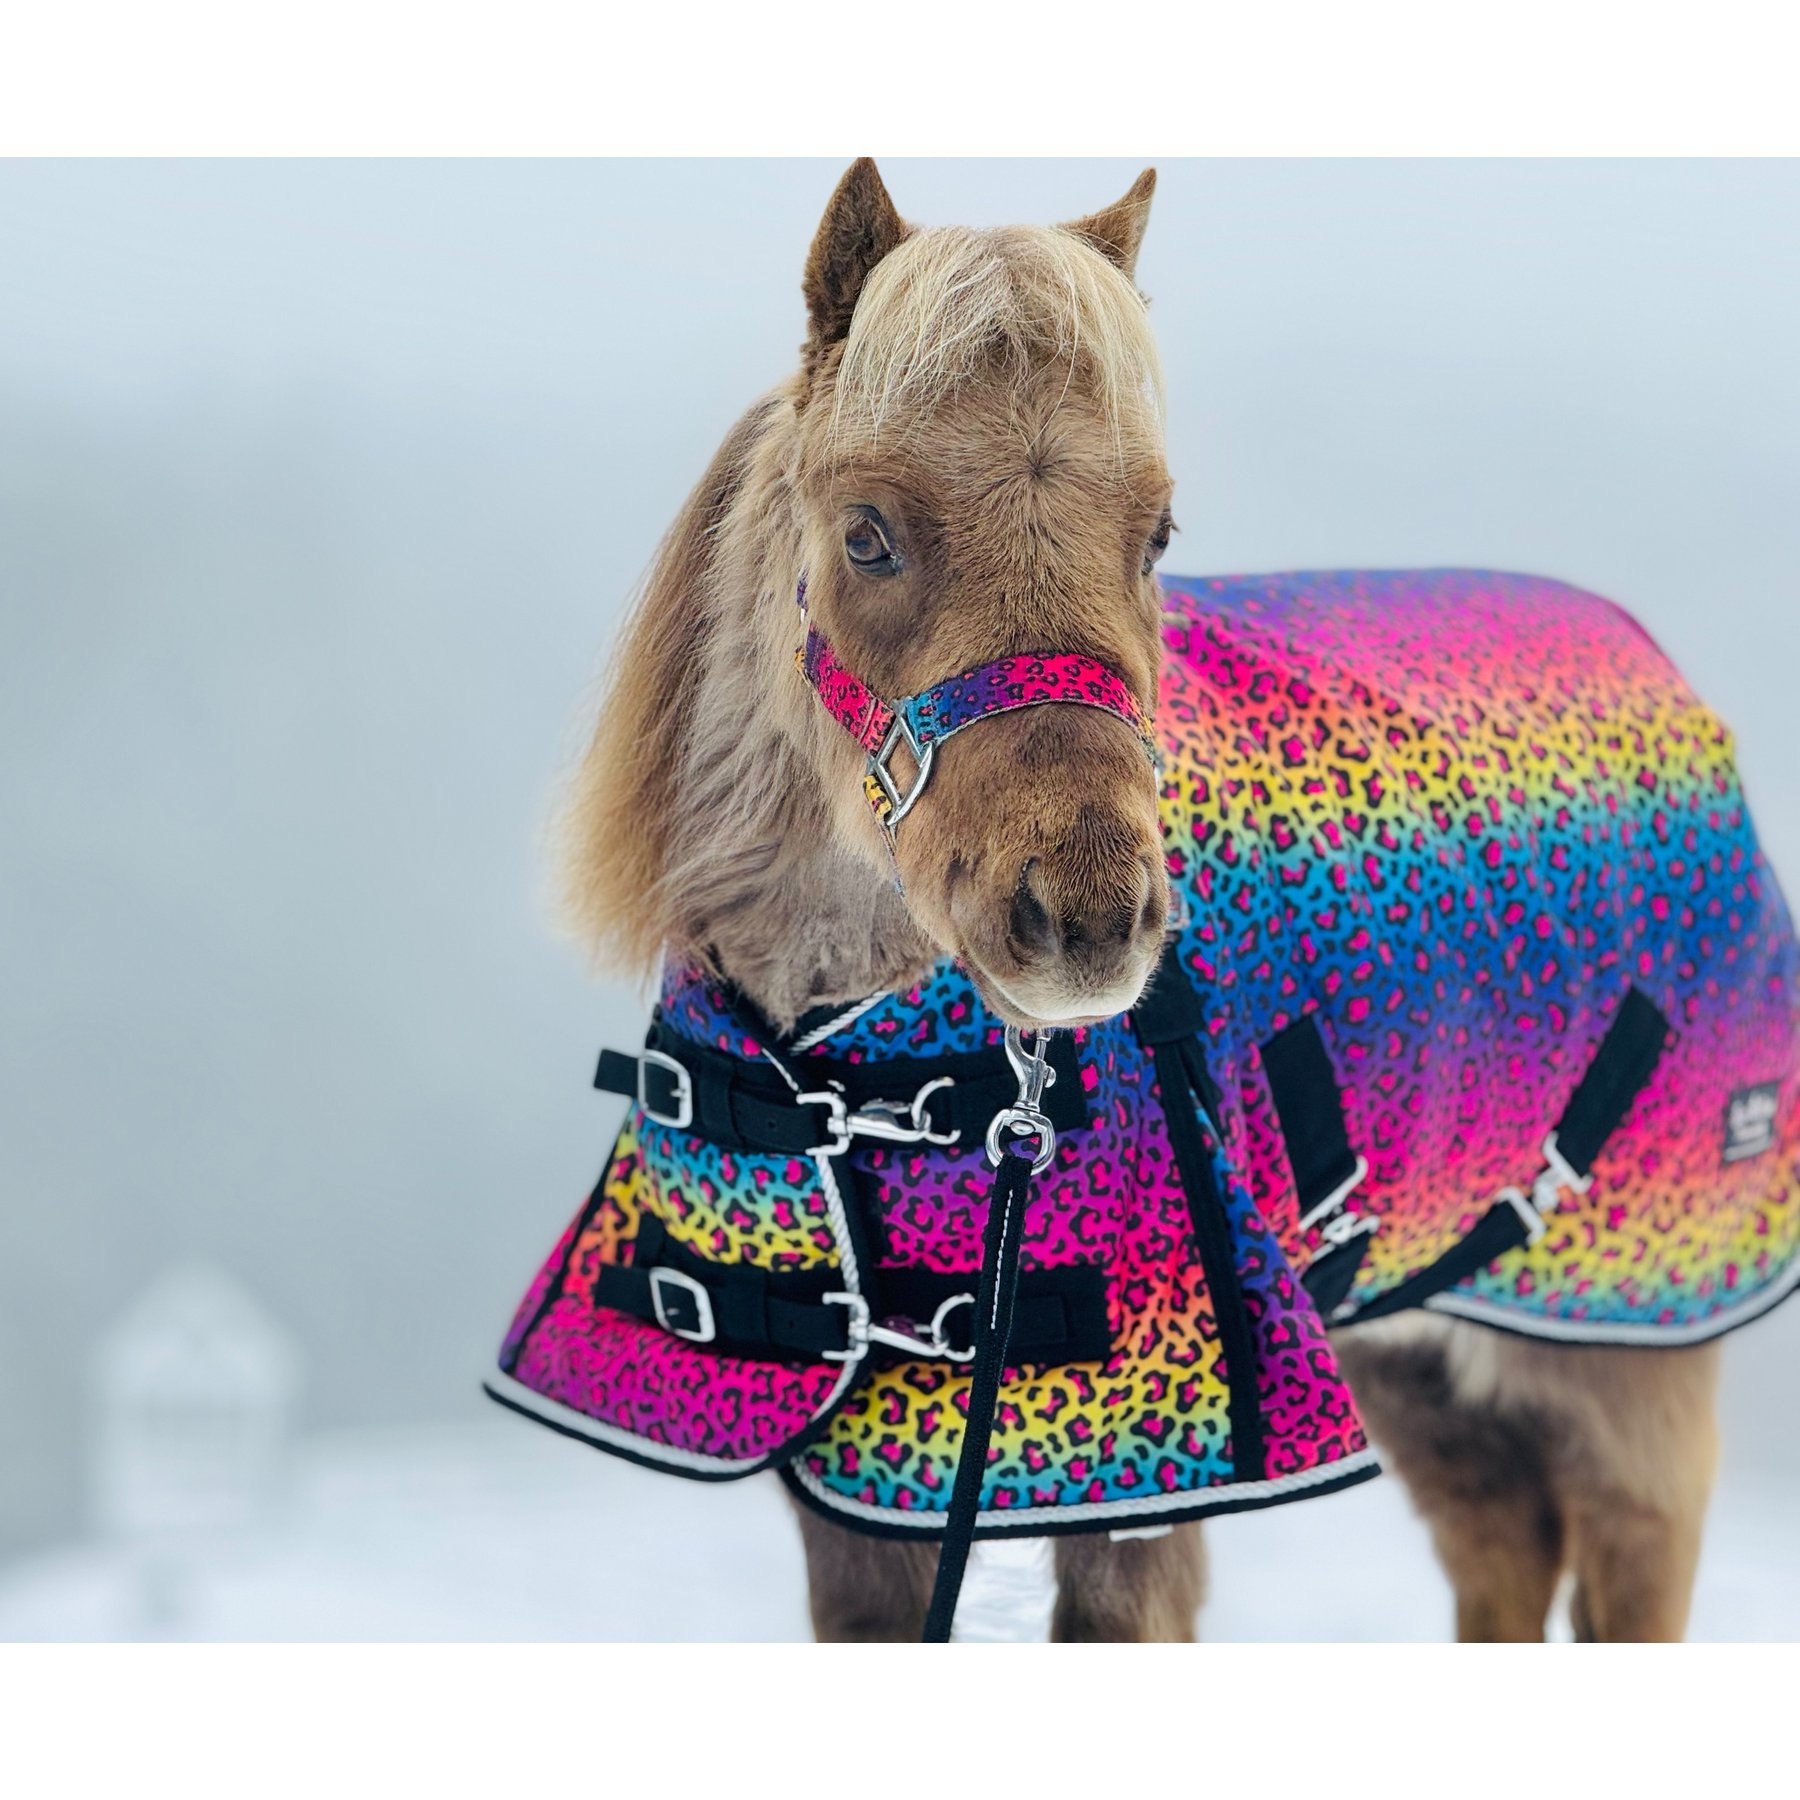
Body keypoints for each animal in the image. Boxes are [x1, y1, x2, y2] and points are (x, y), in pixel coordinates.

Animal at [526, 160, 1788, 1641]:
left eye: (1158, 532)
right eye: (868, 535)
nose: (1086, 920)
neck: (840, 1059)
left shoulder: (1136, 1521)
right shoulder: (858, 1526)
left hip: (1624, 1358)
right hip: (1422, 1354)